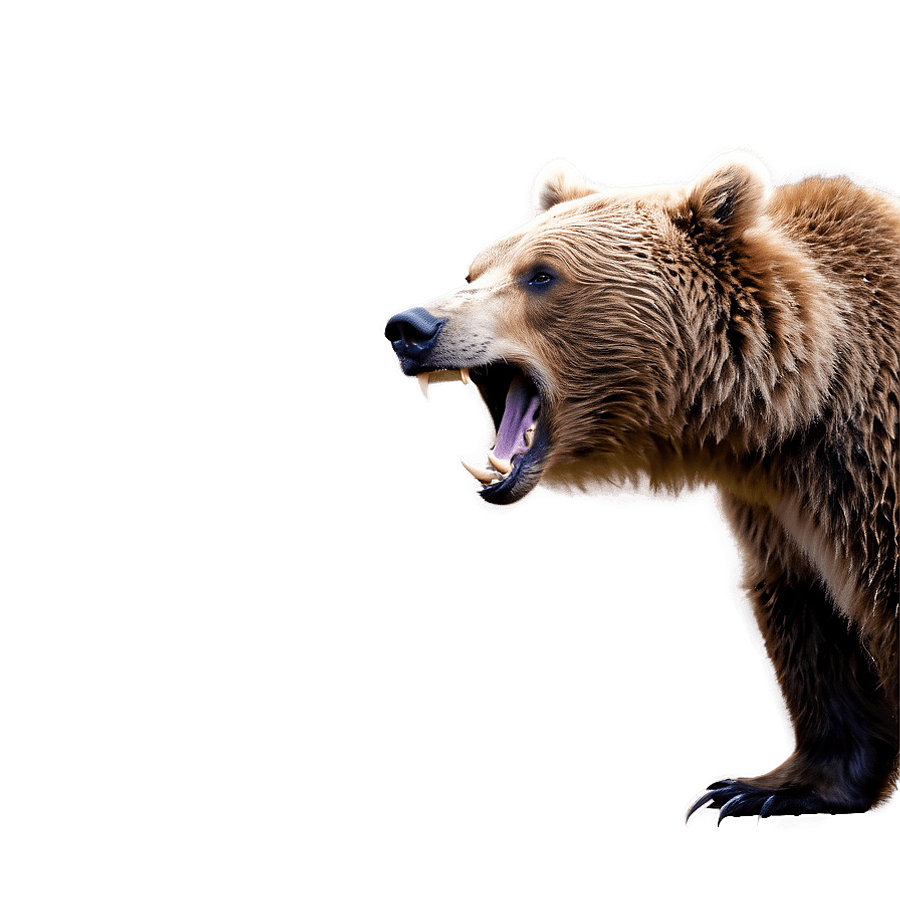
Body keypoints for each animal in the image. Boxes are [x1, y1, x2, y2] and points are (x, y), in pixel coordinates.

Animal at [383, 148, 899, 825]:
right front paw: (758, 787)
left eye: (540, 275)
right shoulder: (776, 502)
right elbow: (806, 610)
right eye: (474, 268)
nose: (409, 327)